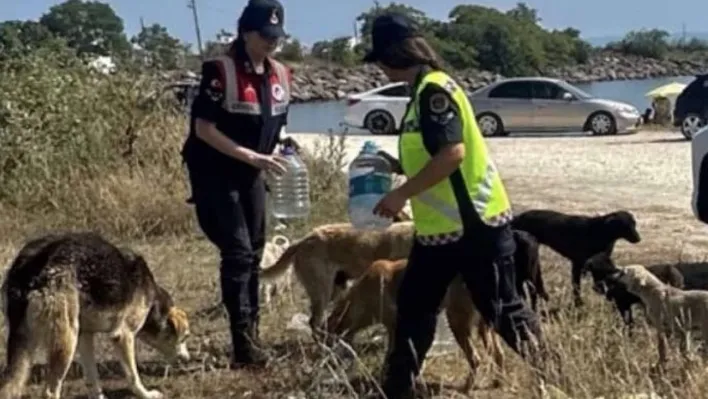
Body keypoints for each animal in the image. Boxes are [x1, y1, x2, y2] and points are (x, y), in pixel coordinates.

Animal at [0, 233, 191, 399]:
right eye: (184, 337)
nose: (188, 360)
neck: (154, 303)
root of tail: (28, 267)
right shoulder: (124, 336)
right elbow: (133, 376)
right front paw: (146, 394)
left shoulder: (85, 337)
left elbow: (93, 378)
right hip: (66, 341)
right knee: (50, 392)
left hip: (30, 342)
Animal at [324, 258, 504, 392]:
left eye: (325, 340)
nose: (323, 361)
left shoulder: (394, 327)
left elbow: (390, 356)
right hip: (484, 328)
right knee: (498, 354)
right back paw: (497, 382)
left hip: (457, 323)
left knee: (476, 359)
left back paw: (466, 387)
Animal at [508, 209, 640, 306]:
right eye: (626, 226)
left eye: (634, 224)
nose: (639, 238)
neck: (601, 231)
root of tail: (517, 217)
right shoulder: (578, 264)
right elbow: (577, 287)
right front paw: (578, 304)